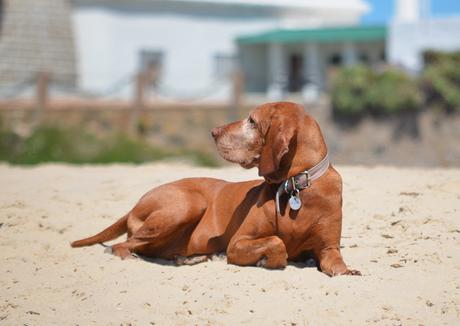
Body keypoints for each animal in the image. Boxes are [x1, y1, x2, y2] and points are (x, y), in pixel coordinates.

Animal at [71, 101, 360, 276]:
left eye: (252, 121)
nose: (213, 131)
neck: (295, 186)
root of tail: (135, 204)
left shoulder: (328, 249)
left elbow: (336, 264)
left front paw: (347, 271)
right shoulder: (238, 242)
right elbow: (277, 243)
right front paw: (267, 260)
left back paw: (189, 258)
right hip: (187, 205)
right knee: (123, 246)